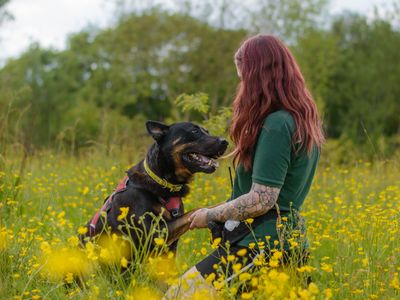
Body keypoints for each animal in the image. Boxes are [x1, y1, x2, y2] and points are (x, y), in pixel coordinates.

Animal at [79, 122, 228, 255]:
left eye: (207, 131)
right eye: (194, 131)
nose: (225, 141)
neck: (164, 183)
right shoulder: (155, 233)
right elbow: (195, 210)